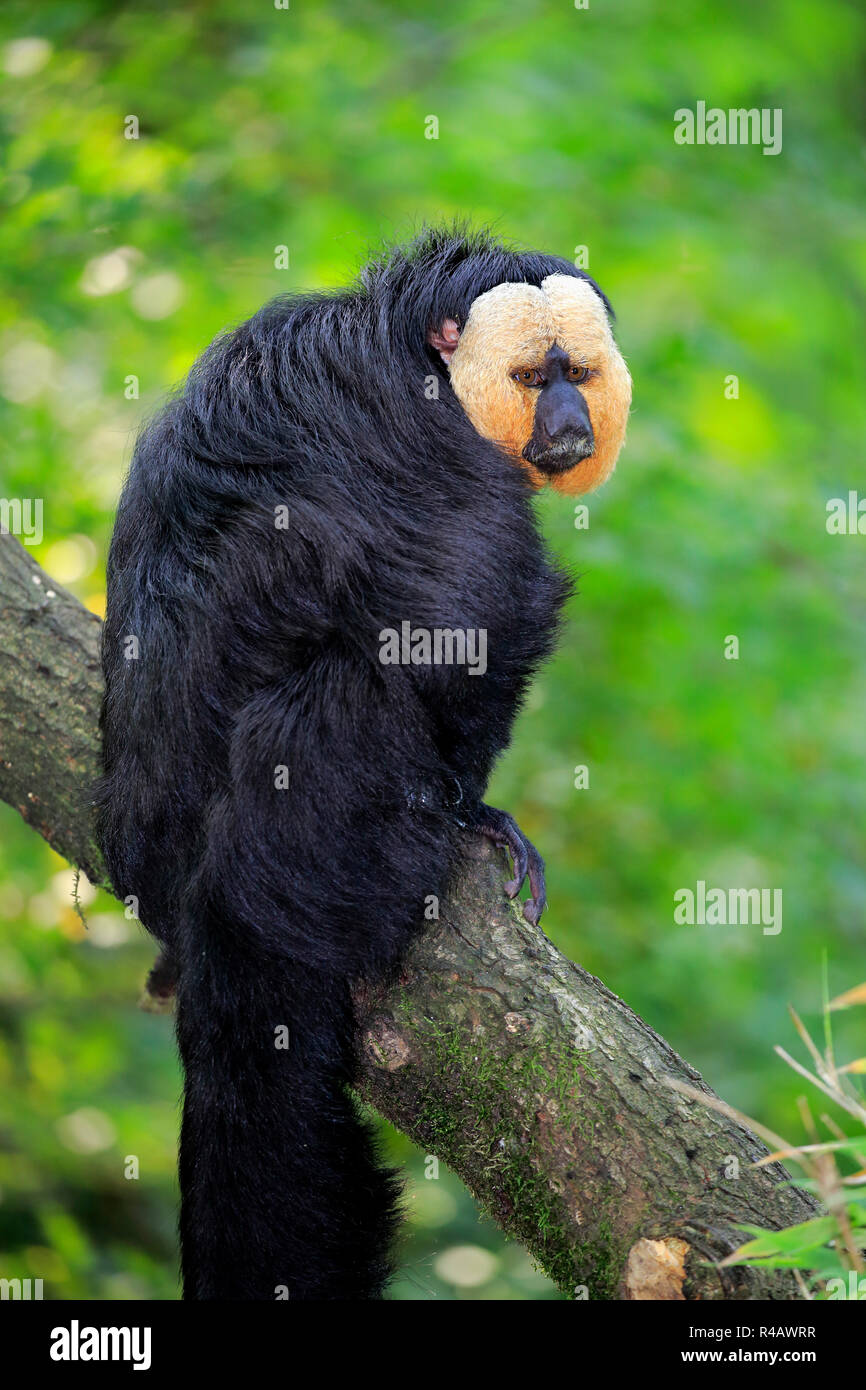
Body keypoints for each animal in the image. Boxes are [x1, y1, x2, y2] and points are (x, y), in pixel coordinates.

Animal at [97, 222, 633, 1295]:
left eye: (581, 375)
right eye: (532, 375)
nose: (567, 424)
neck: (407, 344)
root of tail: (208, 878)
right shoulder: (428, 445)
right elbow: (463, 616)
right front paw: (473, 811)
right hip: (318, 834)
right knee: (340, 699)